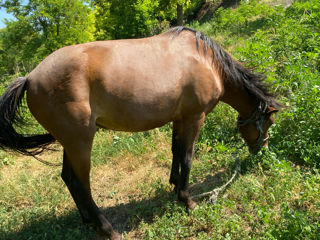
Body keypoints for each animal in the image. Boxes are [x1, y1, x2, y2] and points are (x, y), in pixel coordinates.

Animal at [0, 26, 278, 238]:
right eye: (270, 123)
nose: (261, 151)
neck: (207, 62)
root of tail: (30, 77)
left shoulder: (179, 118)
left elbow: (175, 151)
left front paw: (174, 184)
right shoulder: (194, 118)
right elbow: (188, 158)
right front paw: (187, 200)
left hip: (70, 143)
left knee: (68, 178)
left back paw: (88, 220)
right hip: (80, 143)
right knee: (82, 183)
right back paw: (107, 229)